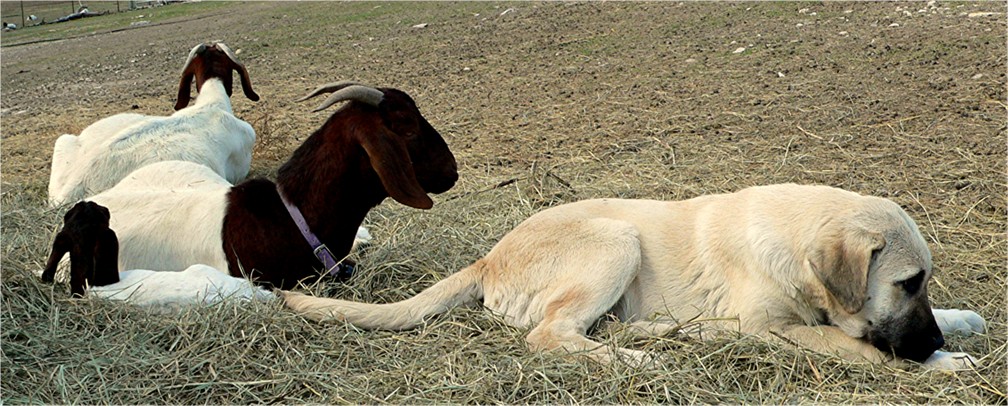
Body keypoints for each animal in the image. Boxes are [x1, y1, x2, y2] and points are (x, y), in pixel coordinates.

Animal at [284, 186, 983, 370]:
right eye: (907, 282)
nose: (930, 343)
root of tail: (488, 257)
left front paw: (960, 325)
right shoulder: (773, 325)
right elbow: (862, 348)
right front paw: (944, 363)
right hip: (616, 239)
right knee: (549, 335)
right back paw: (635, 357)